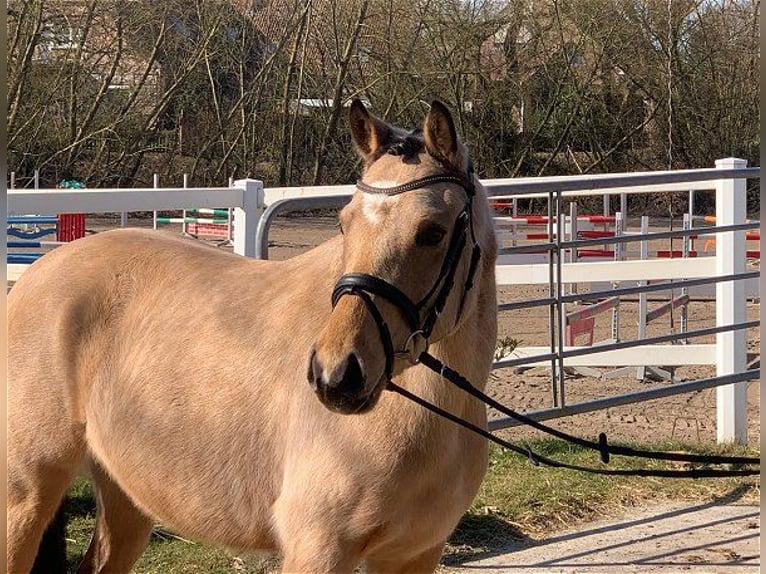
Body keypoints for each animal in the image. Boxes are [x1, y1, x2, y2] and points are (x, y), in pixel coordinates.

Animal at [9, 101, 500, 572]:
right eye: (344, 224)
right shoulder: (319, 550)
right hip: (24, 496)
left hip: (126, 498)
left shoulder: (414, 553)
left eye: (432, 232)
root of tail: (34, 277)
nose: (336, 374)